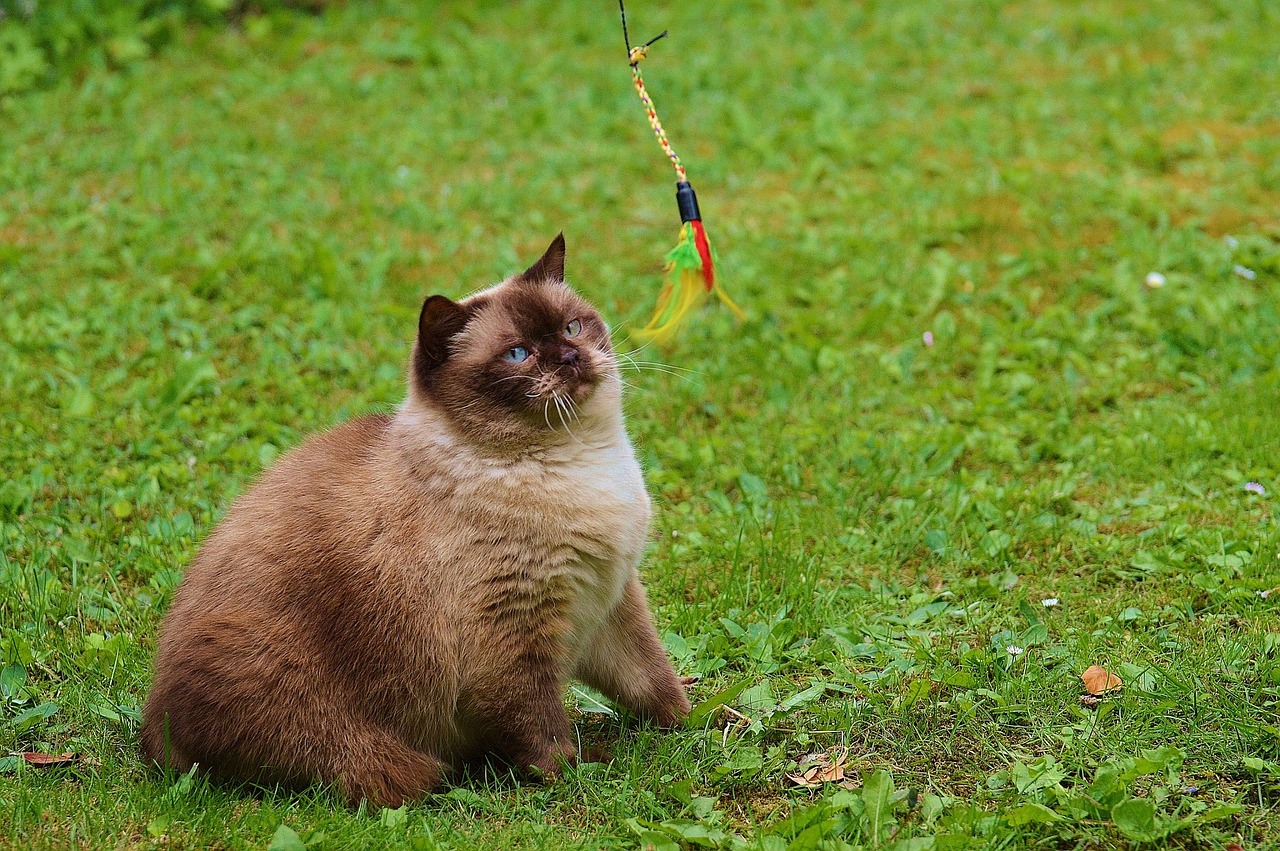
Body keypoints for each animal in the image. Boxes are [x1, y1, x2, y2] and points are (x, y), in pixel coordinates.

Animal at [140, 232, 691, 803]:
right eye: (518, 354)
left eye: (572, 327)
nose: (568, 356)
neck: (581, 461)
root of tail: (153, 734)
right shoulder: (512, 632)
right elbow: (541, 729)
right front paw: (575, 774)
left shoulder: (611, 597)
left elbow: (651, 678)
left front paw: (691, 721)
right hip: (358, 739)